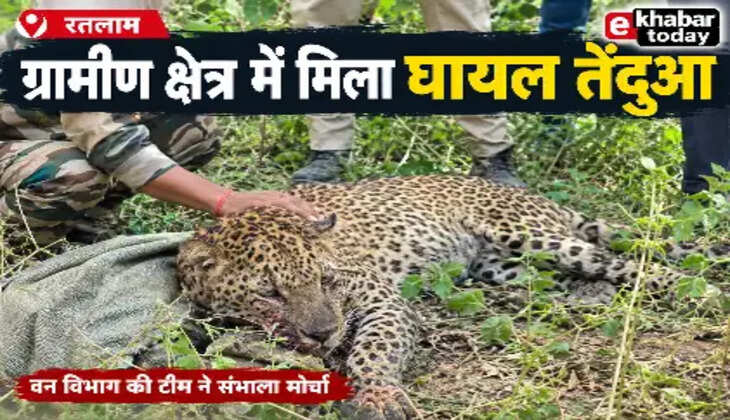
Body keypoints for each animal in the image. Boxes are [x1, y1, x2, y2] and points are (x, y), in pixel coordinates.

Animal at [177, 175, 727, 419]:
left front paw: (378, 395)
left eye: (326, 280)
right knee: (557, 279)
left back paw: (701, 291)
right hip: (501, 265)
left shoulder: (382, 300)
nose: (324, 333)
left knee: (628, 261)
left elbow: (373, 349)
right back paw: (589, 294)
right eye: (269, 292)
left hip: (527, 232)